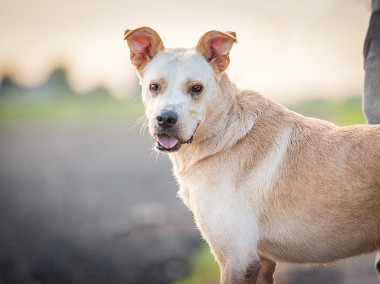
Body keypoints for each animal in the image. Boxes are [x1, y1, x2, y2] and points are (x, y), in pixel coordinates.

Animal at [124, 27, 380, 284]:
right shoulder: (263, 260)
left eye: (196, 88)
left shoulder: (238, 260)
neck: (223, 132)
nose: (165, 119)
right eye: (154, 87)